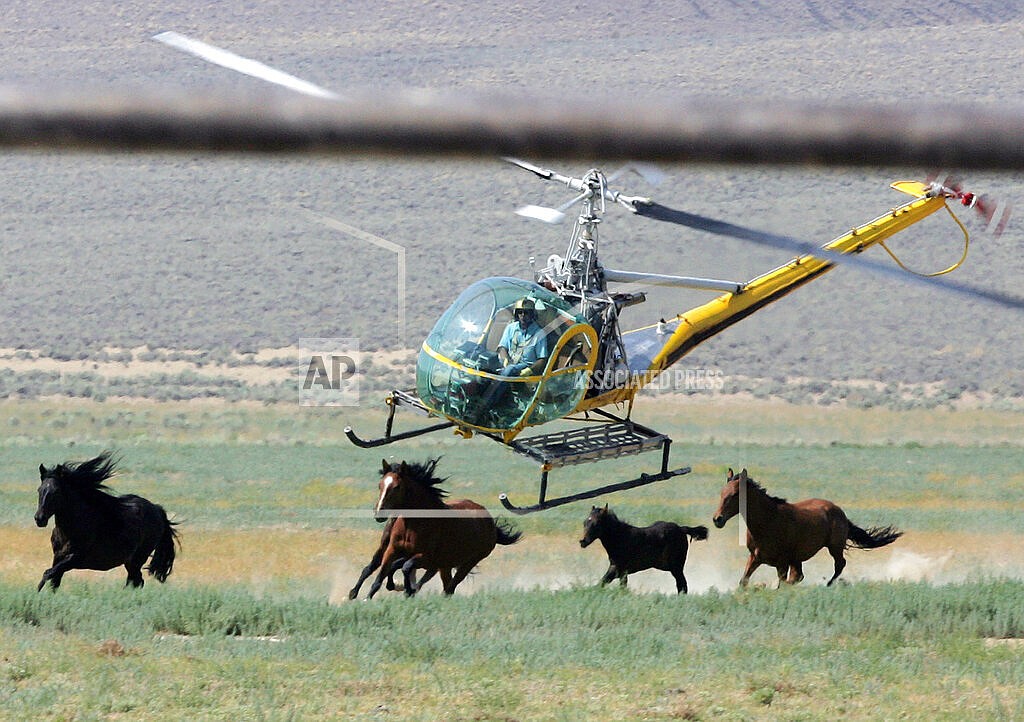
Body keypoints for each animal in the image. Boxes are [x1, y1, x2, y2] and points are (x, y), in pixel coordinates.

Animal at [34, 450, 180, 589]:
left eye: (56, 491)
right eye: (39, 490)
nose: (39, 518)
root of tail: (157, 509)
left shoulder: (74, 558)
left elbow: (47, 574)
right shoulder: (58, 557)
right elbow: (53, 581)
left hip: (138, 558)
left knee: (136, 581)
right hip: (130, 561)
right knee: (135, 581)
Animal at [370, 456, 524, 598]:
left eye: (397, 487)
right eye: (380, 485)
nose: (379, 514)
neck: (411, 526)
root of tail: (490, 523)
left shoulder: (426, 557)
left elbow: (406, 567)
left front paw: (407, 589)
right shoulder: (392, 550)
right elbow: (381, 577)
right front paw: (370, 597)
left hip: (469, 562)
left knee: (450, 588)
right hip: (445, 565)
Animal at [712, 466, 905, 585]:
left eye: (735, 494)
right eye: (722, 493)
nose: (717, 519)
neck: (768, 521)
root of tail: (840, 512)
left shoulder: (782, 562)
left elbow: (782, 583)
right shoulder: (755, 557)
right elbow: (743, 582)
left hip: (834, 547)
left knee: (839, 565)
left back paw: (827, 584)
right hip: (799, 558)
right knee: (800, 575)